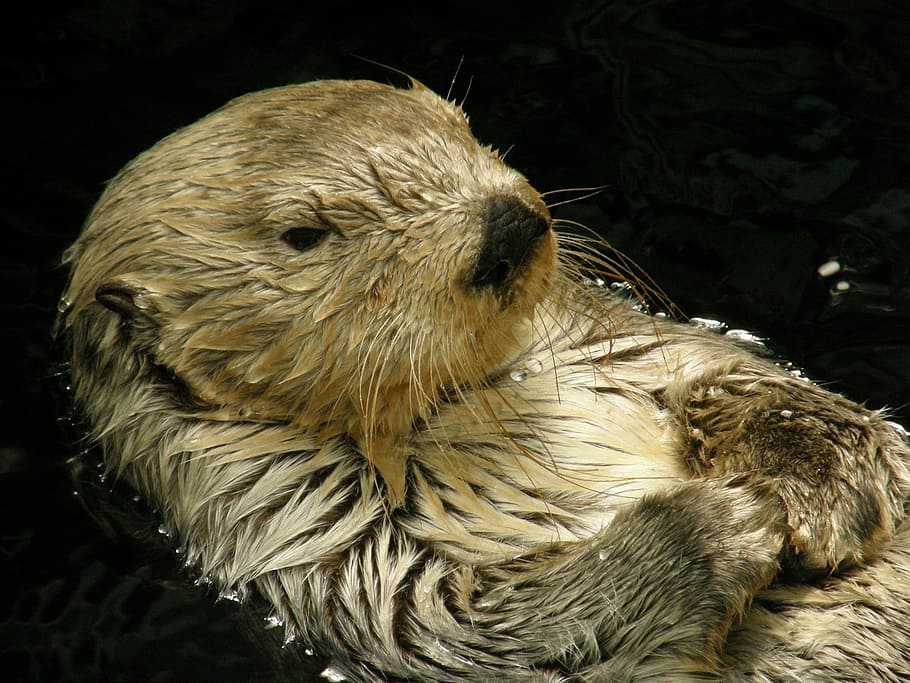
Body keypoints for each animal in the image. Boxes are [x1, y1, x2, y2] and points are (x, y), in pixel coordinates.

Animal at [57, 79, 910, 680]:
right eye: (303, 234)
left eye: (465, 129)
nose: (507, 224)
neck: (472, 407)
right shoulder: (300, 531)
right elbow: (460, 625)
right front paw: (718, 528)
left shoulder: (625, 344)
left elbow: (735, 378)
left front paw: (817, 483)